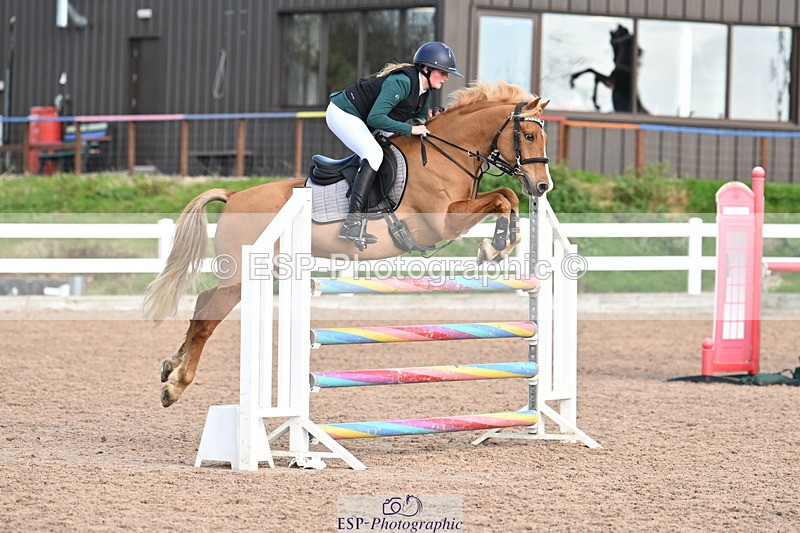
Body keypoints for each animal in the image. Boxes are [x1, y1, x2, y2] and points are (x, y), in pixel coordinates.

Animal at [144, 80, 552, 408]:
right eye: (530, 136)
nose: (543, 186)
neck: (444, 153)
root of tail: (234, 195)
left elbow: (506, 197)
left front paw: (501, 243)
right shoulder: (442, 223)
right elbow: (501, 198)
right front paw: (494, 247)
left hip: (247, 275)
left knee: (202, 302)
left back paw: (169, 367)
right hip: (243, 276)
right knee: (207, 318)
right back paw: (175, 387)